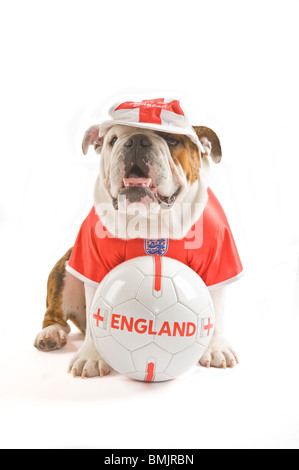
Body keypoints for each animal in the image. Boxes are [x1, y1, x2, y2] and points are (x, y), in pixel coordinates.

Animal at [34, 99, 243, 378]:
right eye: (113, 140)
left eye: (172, 140)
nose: (135, 140)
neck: (150, 220)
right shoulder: (90, 259)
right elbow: (94, 307)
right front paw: (92, 355)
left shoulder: (219, 260)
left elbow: (216, 309)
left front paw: (216, 347)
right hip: (65, 266)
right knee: (57, 314)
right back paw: (51, 333)